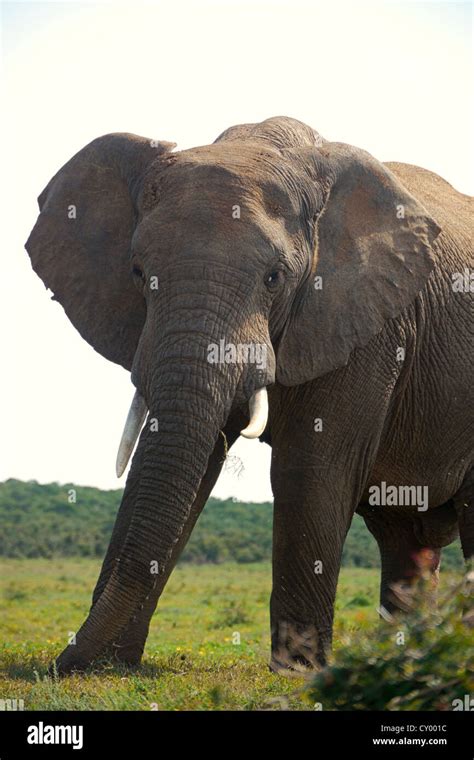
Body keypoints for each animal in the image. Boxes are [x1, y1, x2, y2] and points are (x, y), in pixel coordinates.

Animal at [24, 116, 472, 672]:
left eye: (274, 278)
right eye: (138, 274)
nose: (59, 665)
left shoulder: (370, 325)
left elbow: (310, 468)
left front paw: (299, 673)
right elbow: (183, 460)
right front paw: (112, 665)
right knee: (403, 541)